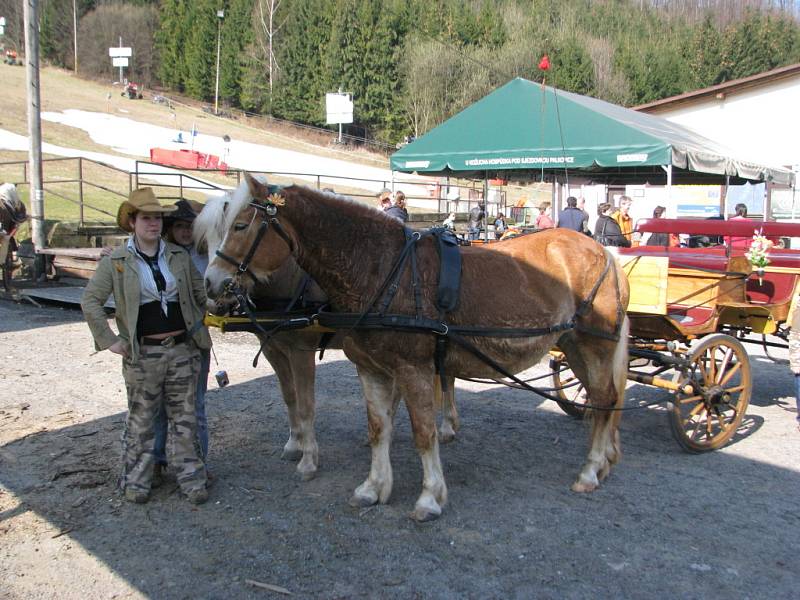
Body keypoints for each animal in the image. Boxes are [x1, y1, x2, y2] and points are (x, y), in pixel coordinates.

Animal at [206, 176, 632, 524]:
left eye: (241, 225)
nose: (211, 283)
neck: (380, 269)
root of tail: (605, 254)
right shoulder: (370, 369)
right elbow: (378, 428)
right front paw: (374, 487)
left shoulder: (413, 370)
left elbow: (423, 432)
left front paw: (430, 497)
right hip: (574, 346)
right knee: (604, 400)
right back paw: (604, 462)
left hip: (595, 345)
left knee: (605, 399)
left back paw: (590, 470)